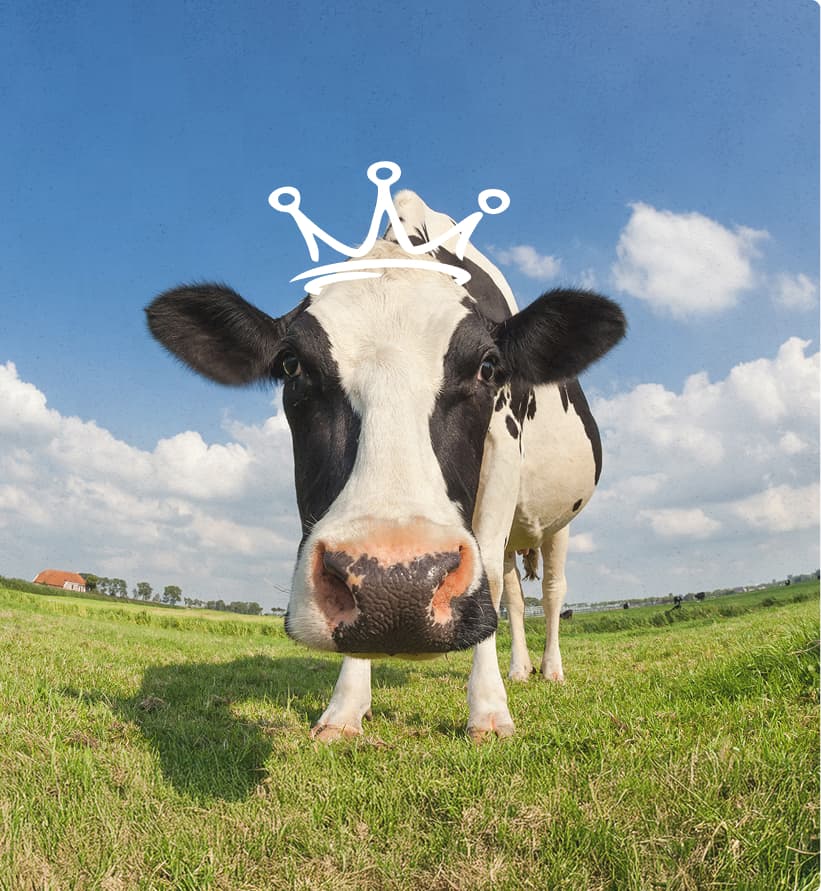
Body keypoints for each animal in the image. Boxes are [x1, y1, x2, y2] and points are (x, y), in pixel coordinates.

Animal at [146, 187, 625, 741]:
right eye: (291, 364)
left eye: (488, 367)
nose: (396, 587)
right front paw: (345, 708)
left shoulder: (504, 450)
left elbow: (487, 573)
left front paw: (487, 712)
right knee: (510, 589)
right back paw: (519, 669)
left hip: (559, 523)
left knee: (549, 589)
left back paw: (550, 670)